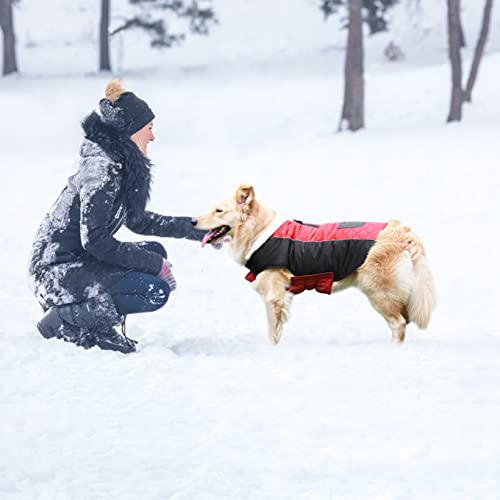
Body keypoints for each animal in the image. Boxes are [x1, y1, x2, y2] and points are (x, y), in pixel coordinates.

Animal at [193, 184, 436, 344]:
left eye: (219, 211)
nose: (193, 220)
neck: (259, 231)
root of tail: (402, 230)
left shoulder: (273, 297)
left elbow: (272, 333)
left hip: (377, 291)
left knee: (399, 324)